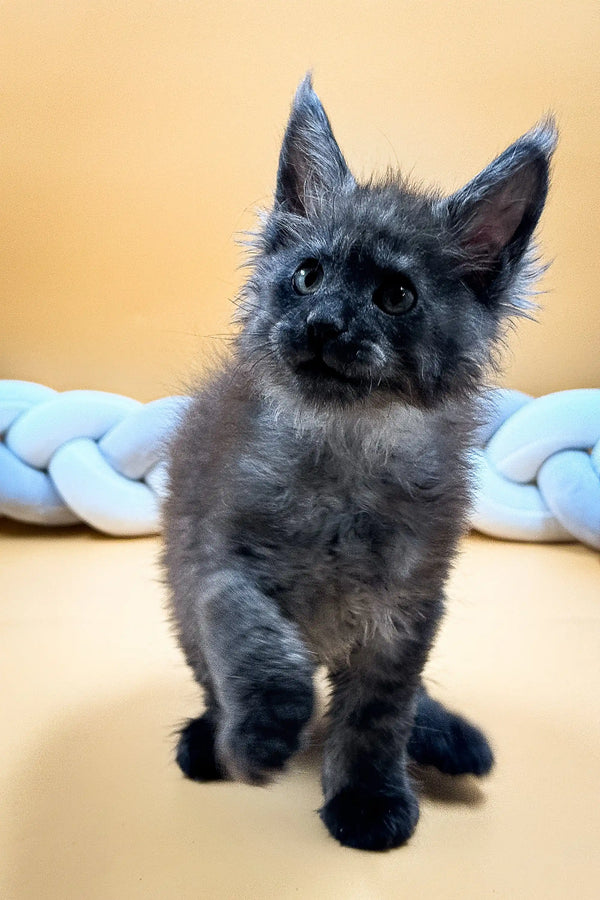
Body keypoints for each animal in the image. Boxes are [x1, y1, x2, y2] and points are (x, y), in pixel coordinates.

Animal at [162, 77, 556, 852]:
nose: (323, 324)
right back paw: (210, 737)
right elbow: (248, 632)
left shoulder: (408, 609)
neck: (347, 446)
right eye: (307, 276)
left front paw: (370, 797)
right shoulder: (217, 559)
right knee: (210, 673)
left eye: (395, 295)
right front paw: (264, 726)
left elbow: (378, 716)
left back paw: (447, 736)